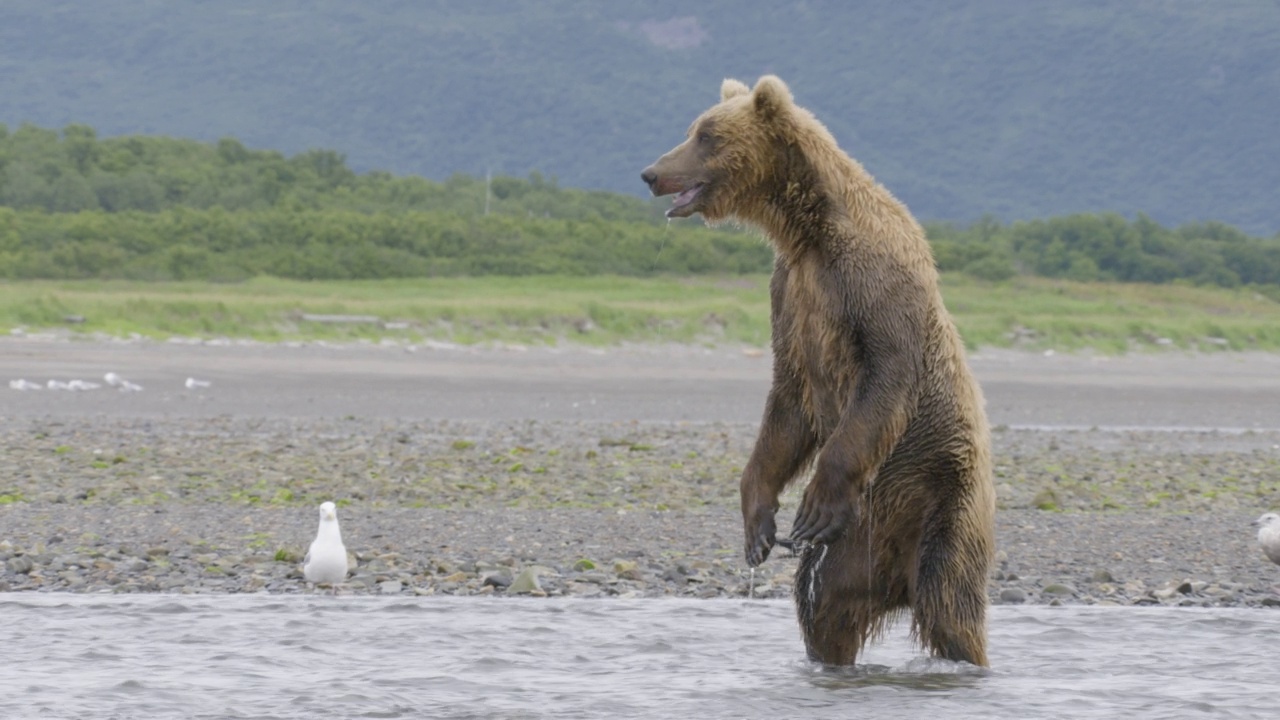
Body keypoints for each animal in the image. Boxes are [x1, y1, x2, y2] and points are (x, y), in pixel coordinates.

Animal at [645, 75, 993, 666]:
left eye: (707, 136)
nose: (651, 173)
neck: (806, 229)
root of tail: (897, 579)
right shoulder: (791, 291)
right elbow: (788, 402)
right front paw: (758, 523)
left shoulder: (872, 278)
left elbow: (885, 374)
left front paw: (811, 505)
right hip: (851, 550)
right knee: (825, 607)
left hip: (943, 493)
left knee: (950, 603)